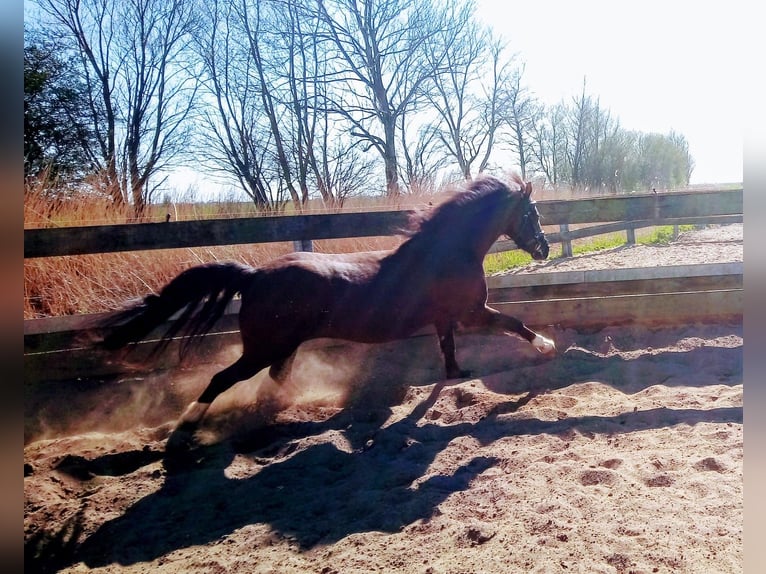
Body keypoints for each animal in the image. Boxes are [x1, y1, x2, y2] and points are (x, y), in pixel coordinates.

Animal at [96, 176, 556, 446]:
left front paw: (456, 381)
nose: (544, 249)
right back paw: (187, 425)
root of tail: (254, 276)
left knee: (273, 380)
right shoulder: (471, 312)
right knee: (222, 378)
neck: (446, 253)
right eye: (532, 213)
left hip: (282, 346)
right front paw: (548, 347)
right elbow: (513, 322)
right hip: (262, 348)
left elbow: (449, 356)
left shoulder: (446, 320)